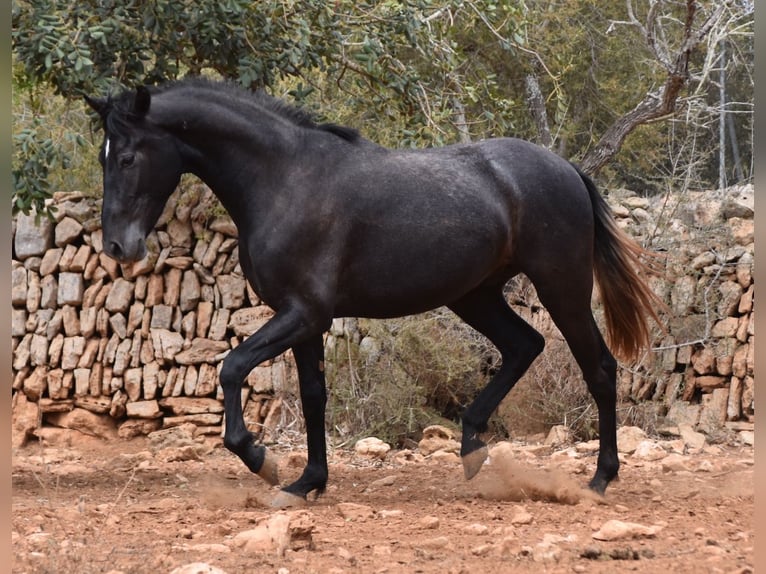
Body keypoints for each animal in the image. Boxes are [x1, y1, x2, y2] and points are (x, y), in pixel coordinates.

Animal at [87, 77, 664, 508]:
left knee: (598, 368)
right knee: (524, 345)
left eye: (129, 158)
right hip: (475, 296)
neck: (285, 179)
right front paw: (307, 483)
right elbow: (314, 396)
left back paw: (599, 480)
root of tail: (567, 169)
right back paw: (472, 447)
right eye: (103, 156)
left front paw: (261, 460)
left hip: (561, 288)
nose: (118, 246)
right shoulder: (303, 319)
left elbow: (231, 368)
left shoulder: (304, 313)